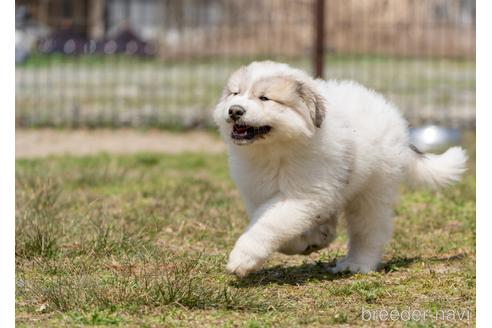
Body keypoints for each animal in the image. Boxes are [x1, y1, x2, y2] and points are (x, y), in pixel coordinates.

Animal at [213, 60, 468, 276]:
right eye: (235, 93)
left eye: (265, 98)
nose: (234, 110)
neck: (273, 152)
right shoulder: (258, 194)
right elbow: (276, 227)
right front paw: (310, 240)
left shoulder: (301, 196)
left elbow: (268, 224)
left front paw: (242, 259)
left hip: (372, 190)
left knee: (370, 230)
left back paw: (357, 264)